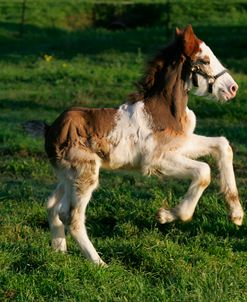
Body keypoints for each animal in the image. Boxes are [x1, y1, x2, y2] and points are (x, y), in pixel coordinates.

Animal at [44, 26, 243, 266]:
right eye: (204, 60)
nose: (233, 88)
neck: (164, 110)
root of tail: (51, 130)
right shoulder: (155, 160)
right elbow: (203, 171)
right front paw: (167, 215)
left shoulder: (182, 143)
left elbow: (223, 145)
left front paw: (236, 214)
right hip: (85, 173)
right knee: (71, 216)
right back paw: (99, 263)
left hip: (68, 176)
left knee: (53, 206)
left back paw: (59, 253)